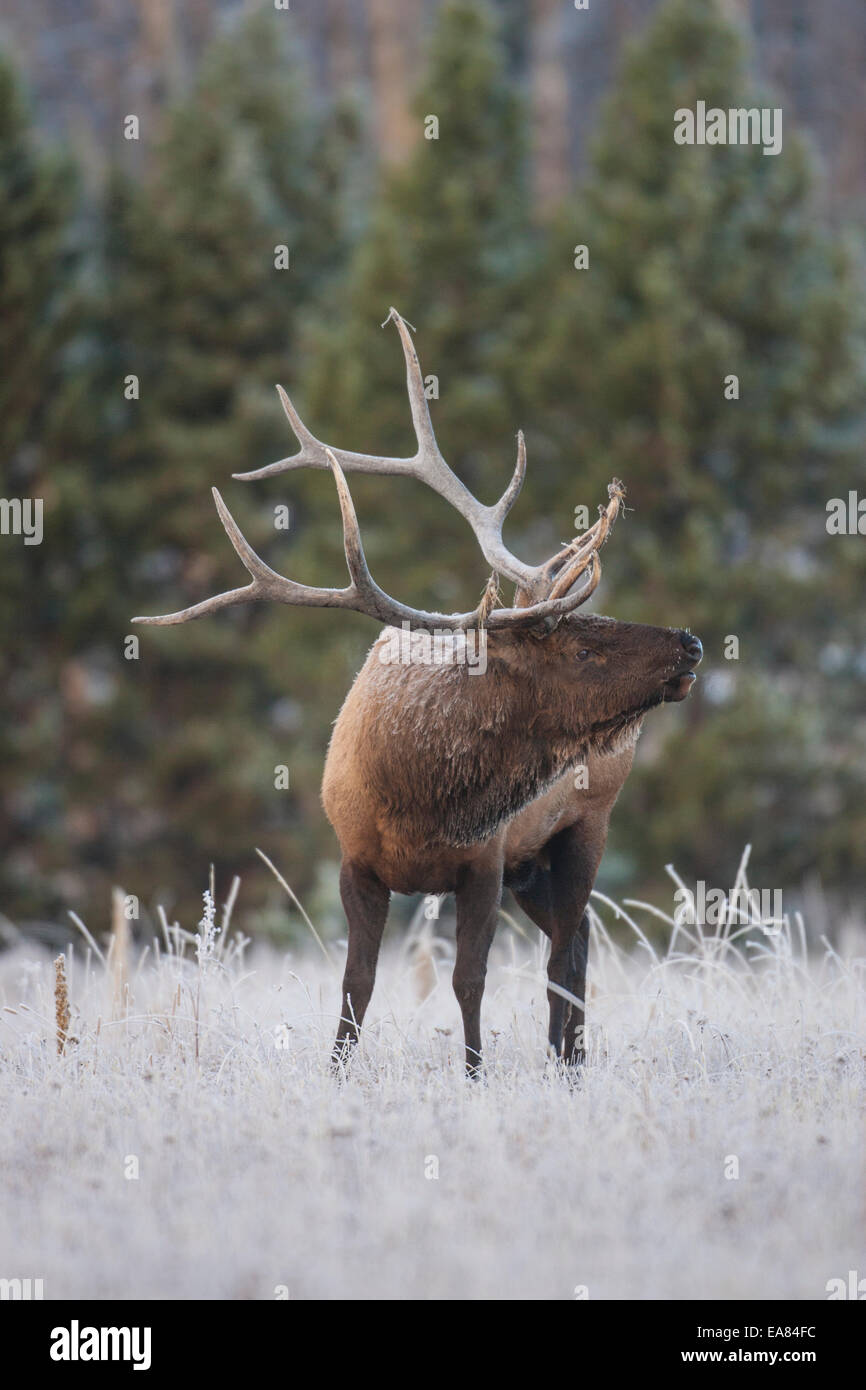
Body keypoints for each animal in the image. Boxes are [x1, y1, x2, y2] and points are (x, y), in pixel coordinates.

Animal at [133, 309, 702, 1075]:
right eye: (583, 647)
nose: (691, 643)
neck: (417, 800)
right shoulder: (357, 860)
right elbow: (357, 983)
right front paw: (339, 1071)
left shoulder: (486, 860)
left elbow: (469, 980)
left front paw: (474, 1074)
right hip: (536, 863)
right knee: (575, 941)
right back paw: (568, 1058)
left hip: (587, 823)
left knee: (567, 954)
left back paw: (569, 1062)